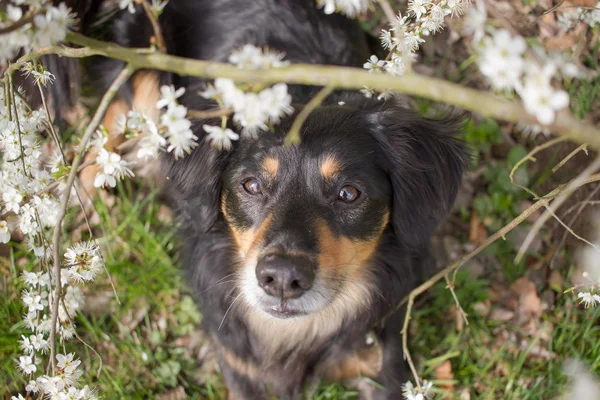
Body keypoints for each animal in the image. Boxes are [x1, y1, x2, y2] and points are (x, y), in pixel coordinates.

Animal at [62, 0, 468, 396]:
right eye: (252, 185)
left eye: (349, 193)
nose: (283, 278)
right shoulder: (240, 367)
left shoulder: (383, 367)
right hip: (147, 59)